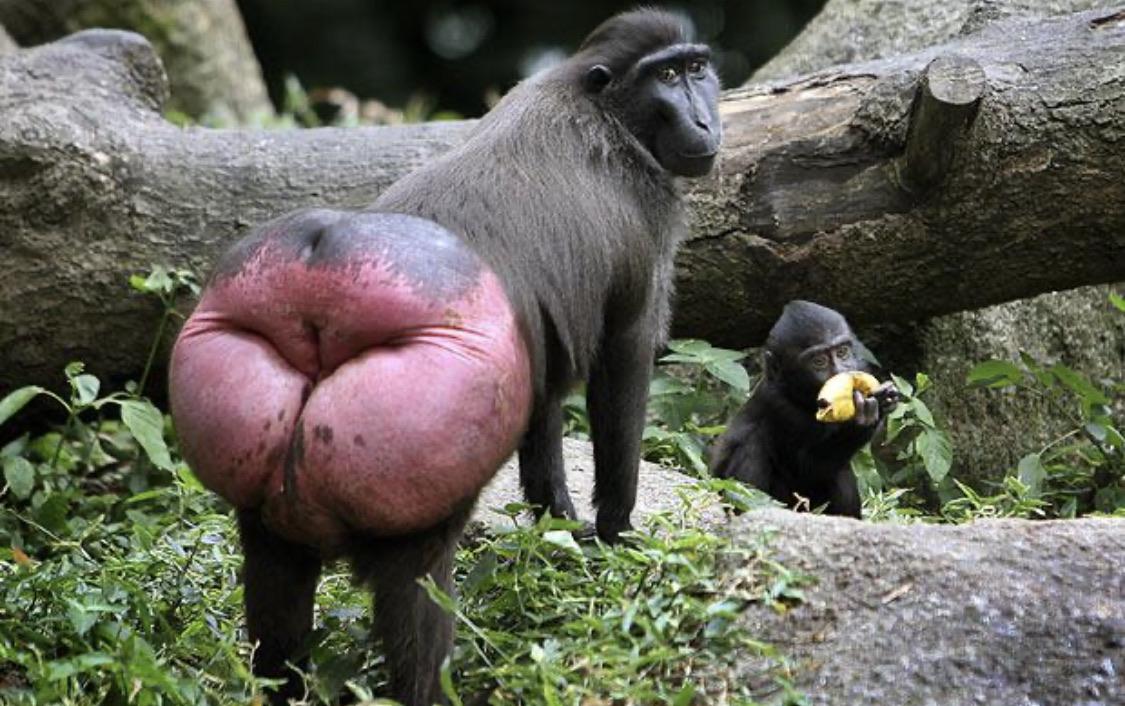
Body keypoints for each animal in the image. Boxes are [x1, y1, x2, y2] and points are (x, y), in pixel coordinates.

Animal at [168, 9, 721, 705]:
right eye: (667, 77)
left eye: (697, 68)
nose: (704, 120)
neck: (595, 101)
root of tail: (324, 271)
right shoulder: (647, 225)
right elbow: (621, 376)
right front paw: (615, 534)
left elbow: (542, 410)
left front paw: (559, 527)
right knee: (417, 583)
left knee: (276, 570)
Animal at [709, 301, 899, 518]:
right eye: (819, 362)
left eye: (842, 352)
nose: (841, 373)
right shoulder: (780, 407)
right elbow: (810, 466)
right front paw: (865, 418)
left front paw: (886, 399)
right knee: (751, 448)